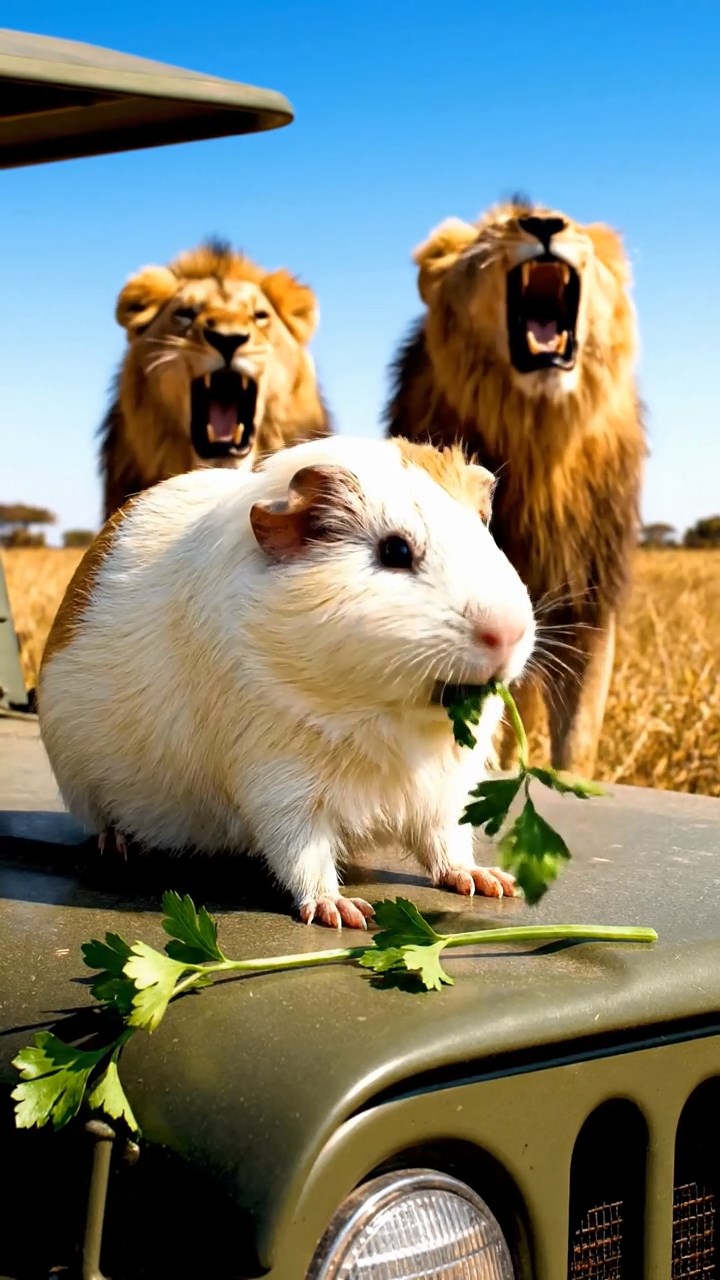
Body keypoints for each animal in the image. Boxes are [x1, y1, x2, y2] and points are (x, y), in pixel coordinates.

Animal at [385, 198, 647, 778]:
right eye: (495, 231)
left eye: (575, 226)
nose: (546, 224)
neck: (539, 441)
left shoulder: (586, 608)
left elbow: (579, 736)